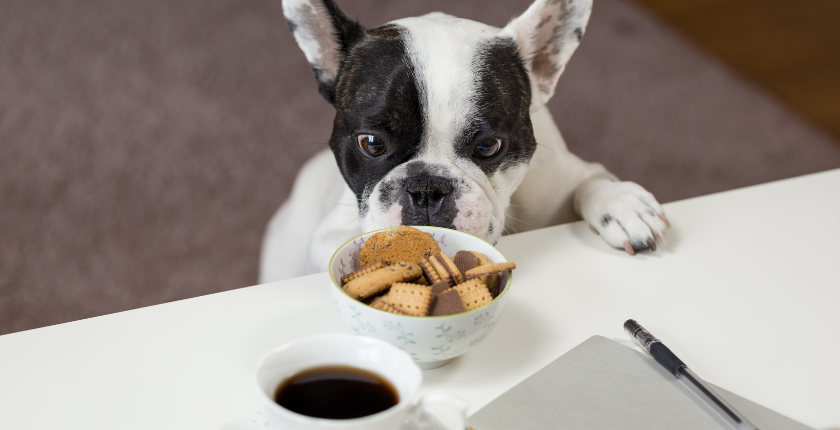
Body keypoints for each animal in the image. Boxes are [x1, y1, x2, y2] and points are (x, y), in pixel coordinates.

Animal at [260, 0, 668, 282]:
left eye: (488, 147)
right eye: (371, 144)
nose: (426, 188)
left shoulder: (565, 176)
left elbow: (592, 181)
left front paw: (623, 205)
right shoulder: (328, 234)